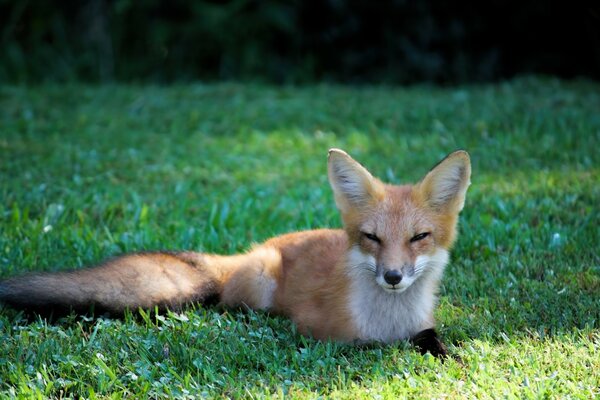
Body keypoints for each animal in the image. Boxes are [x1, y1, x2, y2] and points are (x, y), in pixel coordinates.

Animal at [0, 148, 468, 358]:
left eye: (419, 237)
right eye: (372, 238)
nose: (393, 277)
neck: (390, 318)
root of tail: (249, 251)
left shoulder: (422, 323)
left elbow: (431, 339)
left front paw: (445, 354)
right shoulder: (319, 333)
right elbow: (368, 346)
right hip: (258, 288)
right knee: (228, 304)